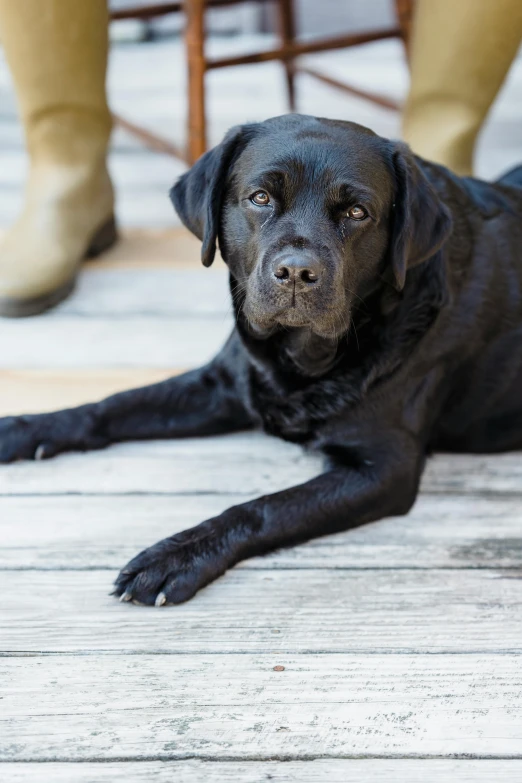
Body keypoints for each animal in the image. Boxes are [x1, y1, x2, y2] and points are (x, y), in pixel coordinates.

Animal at [1, 115, 520, 608]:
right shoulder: (223, 384)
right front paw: (27, 427)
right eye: (260, 197)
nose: (296, 272)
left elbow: (262, 508)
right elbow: (111, 405)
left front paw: (176, 555)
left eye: (357, 212)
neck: (300, 355)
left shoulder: (382, 468)